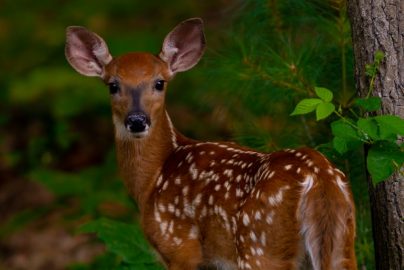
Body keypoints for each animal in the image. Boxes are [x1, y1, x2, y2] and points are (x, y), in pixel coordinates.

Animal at [65, 17, 356, 268]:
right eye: (113, 85)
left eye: (159, 83)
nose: (137, 120)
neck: (152, 179)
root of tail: (318, 178)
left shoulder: (179, 246)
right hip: (343, 241)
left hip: (260, 246)